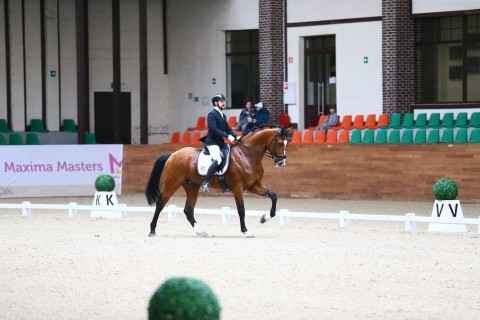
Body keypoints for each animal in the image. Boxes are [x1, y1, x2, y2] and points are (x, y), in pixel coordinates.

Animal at [144, 126, 288, 236]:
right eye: (280, 143)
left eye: (286, 143)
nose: (281, 162)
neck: (246, 155)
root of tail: (172, 155)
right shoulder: (238, 187)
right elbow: (241, 209)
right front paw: (246, 231)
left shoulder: (254, 185)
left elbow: (273, 196)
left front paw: (264, 218)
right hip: (172, 184)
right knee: (160, 204)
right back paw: (152, 231)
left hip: (192, 186)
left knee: (188, 210)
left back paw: (201, 232)